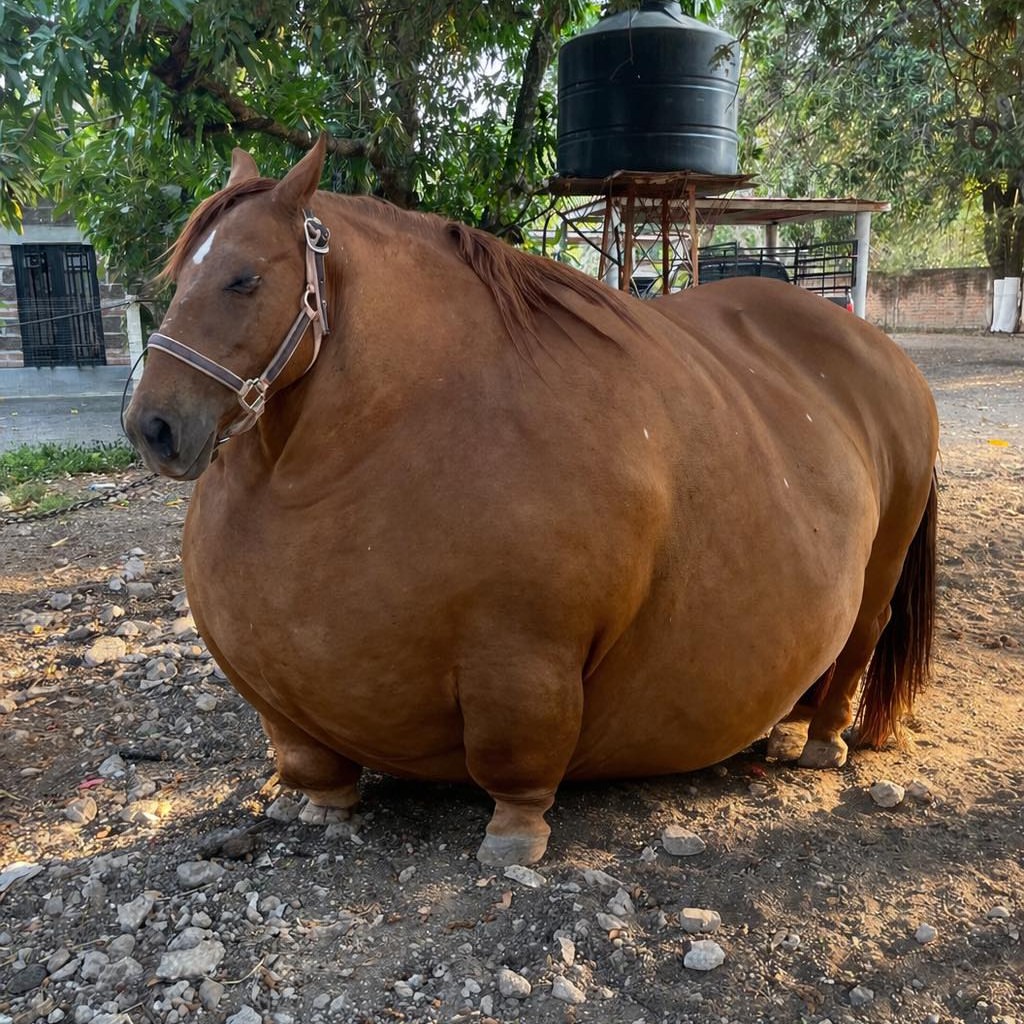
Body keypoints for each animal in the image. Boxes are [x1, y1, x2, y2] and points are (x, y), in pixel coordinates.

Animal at [125, 138, 939, 866]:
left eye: (243, 280)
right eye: (177, 275)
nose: (152, 427)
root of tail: (882, 350)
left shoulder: (522, 661)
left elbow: (515, 761)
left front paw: (514, 837)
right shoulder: (277, 701)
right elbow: (308, 763)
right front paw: (319, 808)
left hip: (881, 567)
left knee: (863, 634)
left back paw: (823, 738)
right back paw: (788, 723)